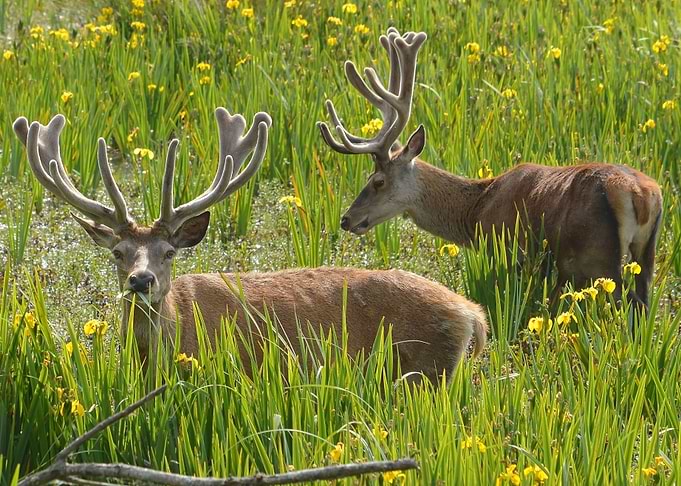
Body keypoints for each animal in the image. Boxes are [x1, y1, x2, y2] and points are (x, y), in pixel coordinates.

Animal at [317, 27, 662, 308]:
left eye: (378, 181)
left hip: (596, 257)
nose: (347, 219)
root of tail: (641, 194)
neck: (476, 210)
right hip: (646, 254)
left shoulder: (508, 249)